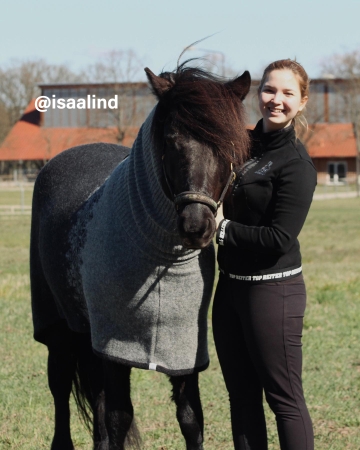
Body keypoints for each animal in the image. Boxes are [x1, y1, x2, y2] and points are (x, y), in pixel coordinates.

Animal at [30, 64, 250, 450]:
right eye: (171, 139)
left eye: (229, 144)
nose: (196, 225)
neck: (161, 258)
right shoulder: (114, 347)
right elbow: (119, 418)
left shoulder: (183, 351)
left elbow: (190, 418)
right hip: (56, 328)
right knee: (60, 389)